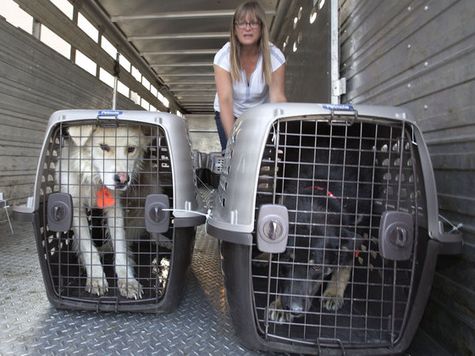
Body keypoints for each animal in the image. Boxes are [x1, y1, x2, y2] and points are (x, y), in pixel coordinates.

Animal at [58, 124, 150, 298]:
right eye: (103, 147)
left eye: (131, 149)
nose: (123, 180)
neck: (94, 179)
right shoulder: (77, 209)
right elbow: (88, 247)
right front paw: (96, 277)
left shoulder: (115, 210)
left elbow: (120, 246)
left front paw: (127, 280)